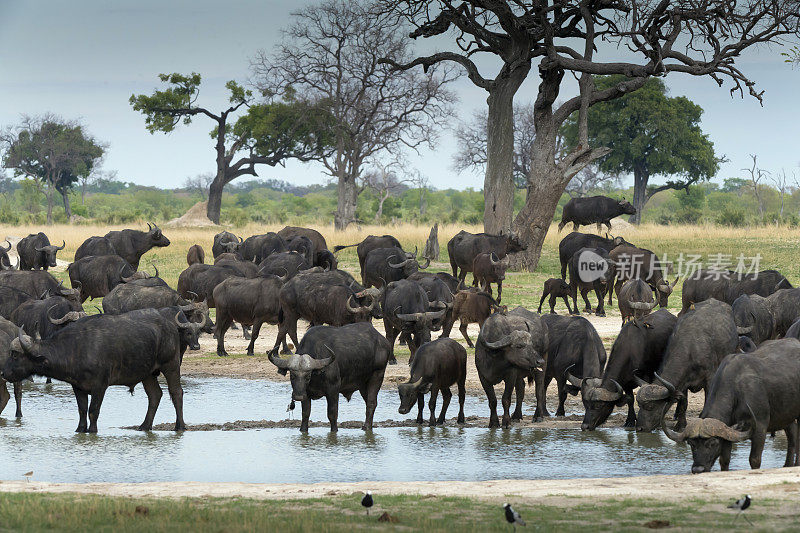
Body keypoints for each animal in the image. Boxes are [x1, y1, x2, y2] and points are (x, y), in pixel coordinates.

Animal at [664, 338, 800, 472]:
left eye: (713, 443)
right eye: (691, 444)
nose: (698, 469)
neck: (737, 390)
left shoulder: (760, 427)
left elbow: (754, 460)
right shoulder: (728, 432)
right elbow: (724, 460)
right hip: (786, 415)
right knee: (792, 436)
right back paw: (788, 465)